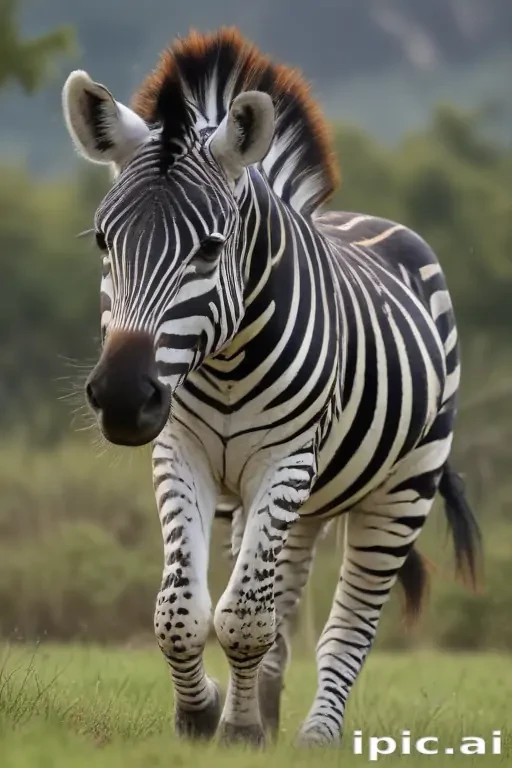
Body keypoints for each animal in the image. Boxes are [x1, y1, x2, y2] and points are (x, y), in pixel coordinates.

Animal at [61, 27, 481, 748]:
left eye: (210, 248)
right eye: (103, 243)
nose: (121, 397)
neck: (226, 361)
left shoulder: (284, 463)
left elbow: (244, 619)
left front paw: (233, 726)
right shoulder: (182, 455)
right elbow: (183, 610)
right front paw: (206, 716)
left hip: (401, 490)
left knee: (350, 624)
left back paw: (316, 737)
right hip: (299, 503)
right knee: (278, 605)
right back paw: (267, 714)